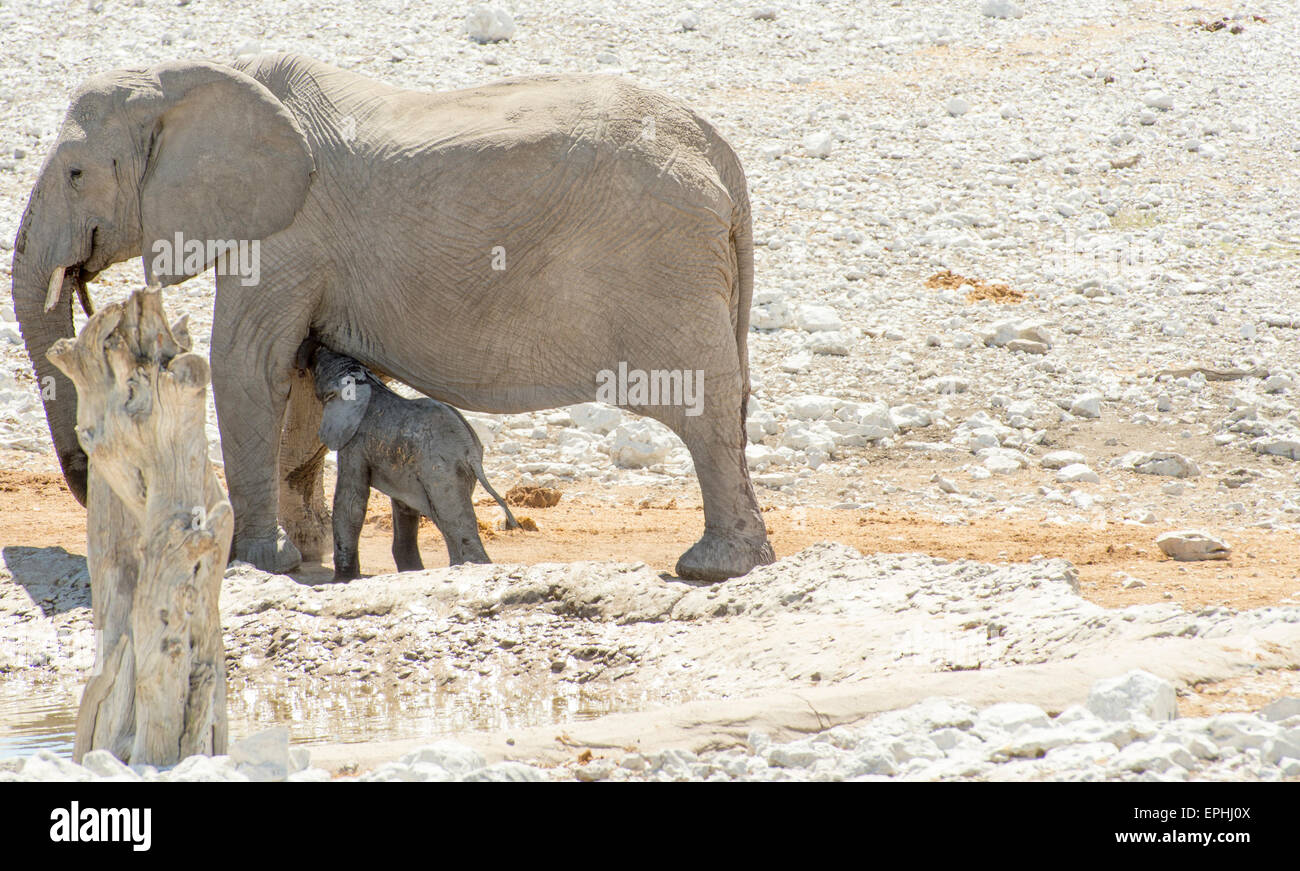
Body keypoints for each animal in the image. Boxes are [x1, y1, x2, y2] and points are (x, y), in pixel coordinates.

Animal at [297, 340, 520, 579]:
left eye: (319, 366)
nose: (314, 346)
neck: (365, 381)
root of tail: (470, 449)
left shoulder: (354, 441)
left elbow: (351, 503)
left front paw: (343, 581)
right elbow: (404, 509)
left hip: (441, 470)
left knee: (453, 518)